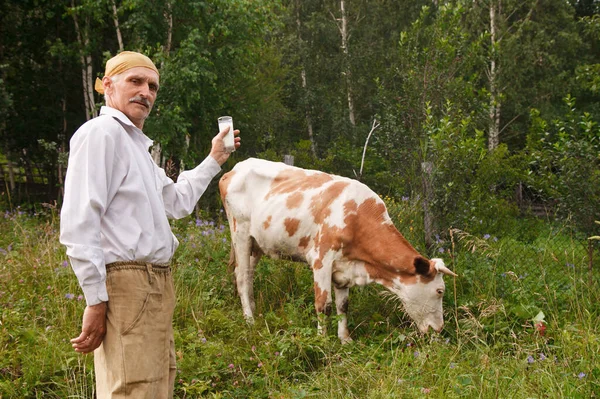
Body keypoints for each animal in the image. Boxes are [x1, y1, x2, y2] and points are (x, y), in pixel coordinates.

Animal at [218, 158, 458, 342]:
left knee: (248, 275)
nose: (439, 328)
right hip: (240, 233)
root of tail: (234, 169)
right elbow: (324, 305)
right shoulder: (321, 259)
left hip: (256, 244)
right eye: (440, 291)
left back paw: (253, 310)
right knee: (241, 277)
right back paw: (249, 320)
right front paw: (322, 340)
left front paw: (345, 339)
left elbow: (343, 305)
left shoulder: (345, 268)